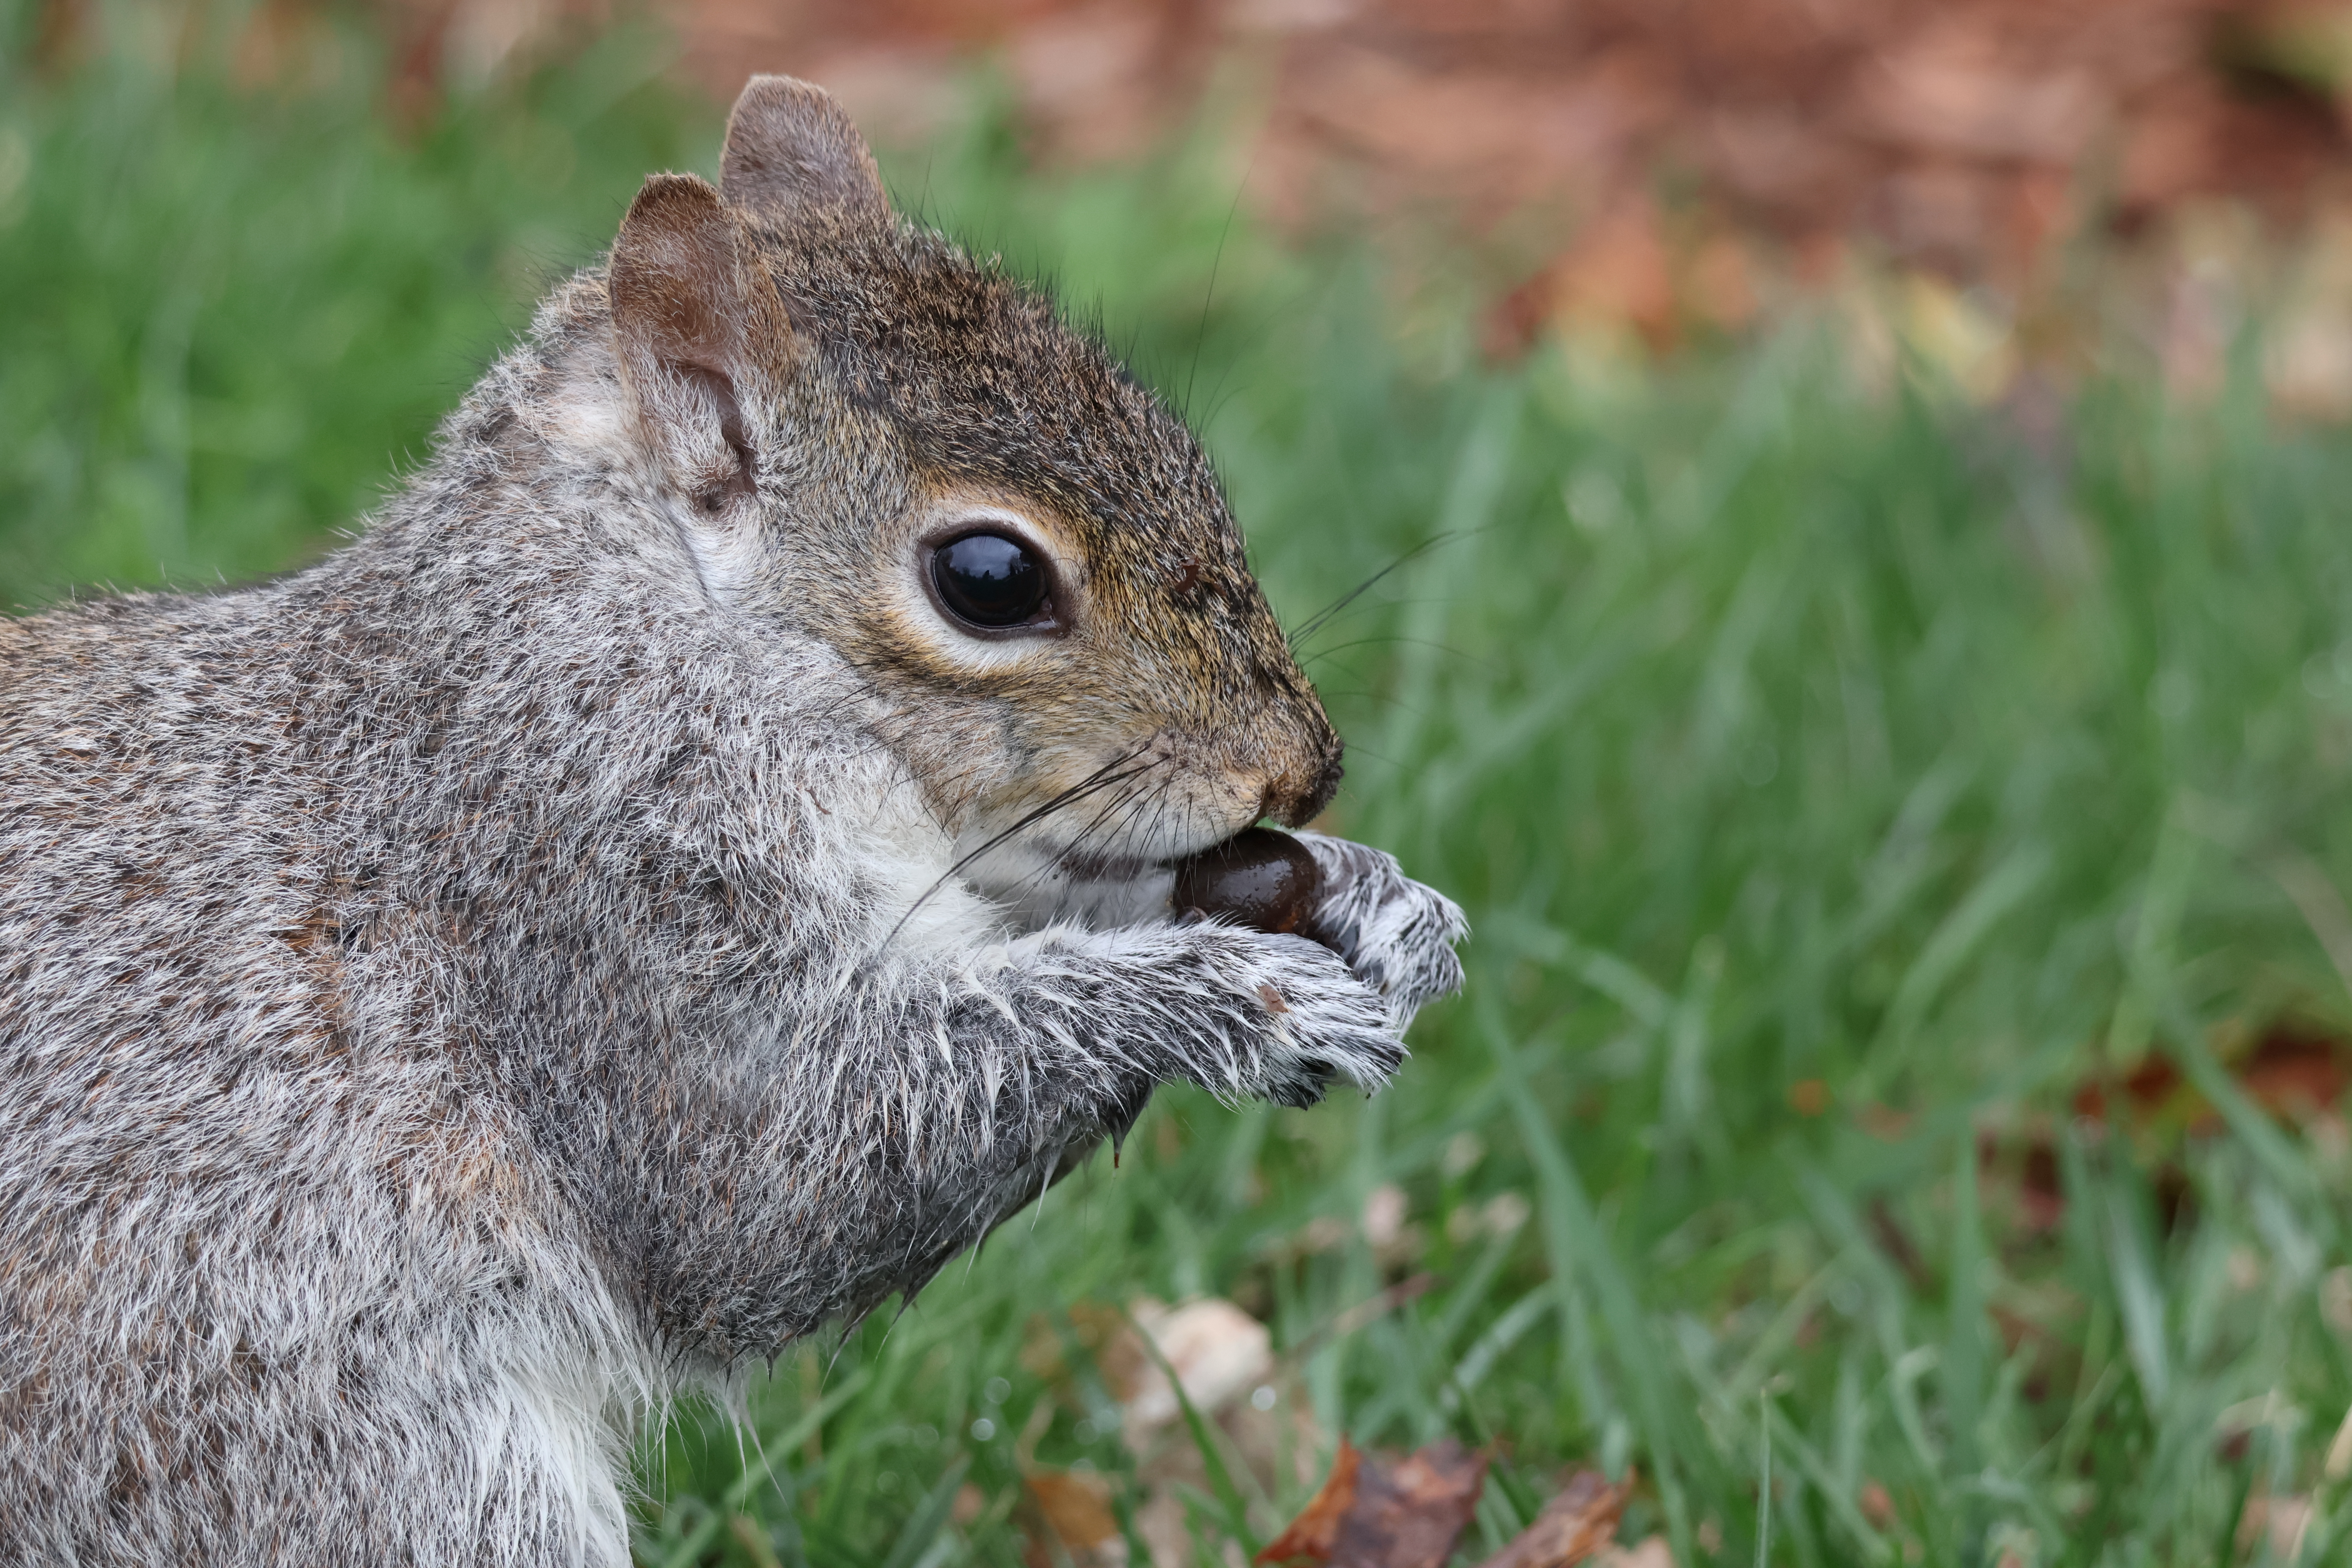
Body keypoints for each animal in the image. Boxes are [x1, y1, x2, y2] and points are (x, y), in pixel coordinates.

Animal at [0, 77, 1465, 1565]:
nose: (1301, 770)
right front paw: (1229, 995)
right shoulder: (577, 877)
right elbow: (766, 1184)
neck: (668, 623)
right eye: (987, 578)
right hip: (340, 1465)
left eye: (1178, 449)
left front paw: (1369, 897)